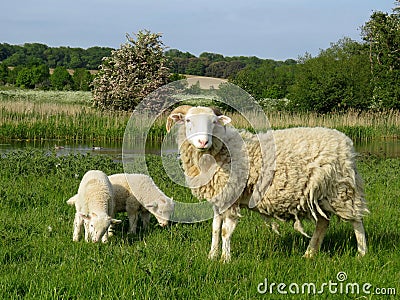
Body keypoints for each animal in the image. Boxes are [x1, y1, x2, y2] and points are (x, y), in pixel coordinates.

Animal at [166, 105, 368, 262]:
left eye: (214, 122)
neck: (221, 150)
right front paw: (212, 256)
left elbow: (225, 231)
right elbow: (215, 229)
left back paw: (362, 253)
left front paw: (225, 259)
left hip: (341, 190)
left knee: (356, 221)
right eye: (188, 121)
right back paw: (310, 253)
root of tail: (346, 141)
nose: (203, 141)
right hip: (320, 194)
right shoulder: (219, 199)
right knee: (323, 223)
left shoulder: (231, 197)